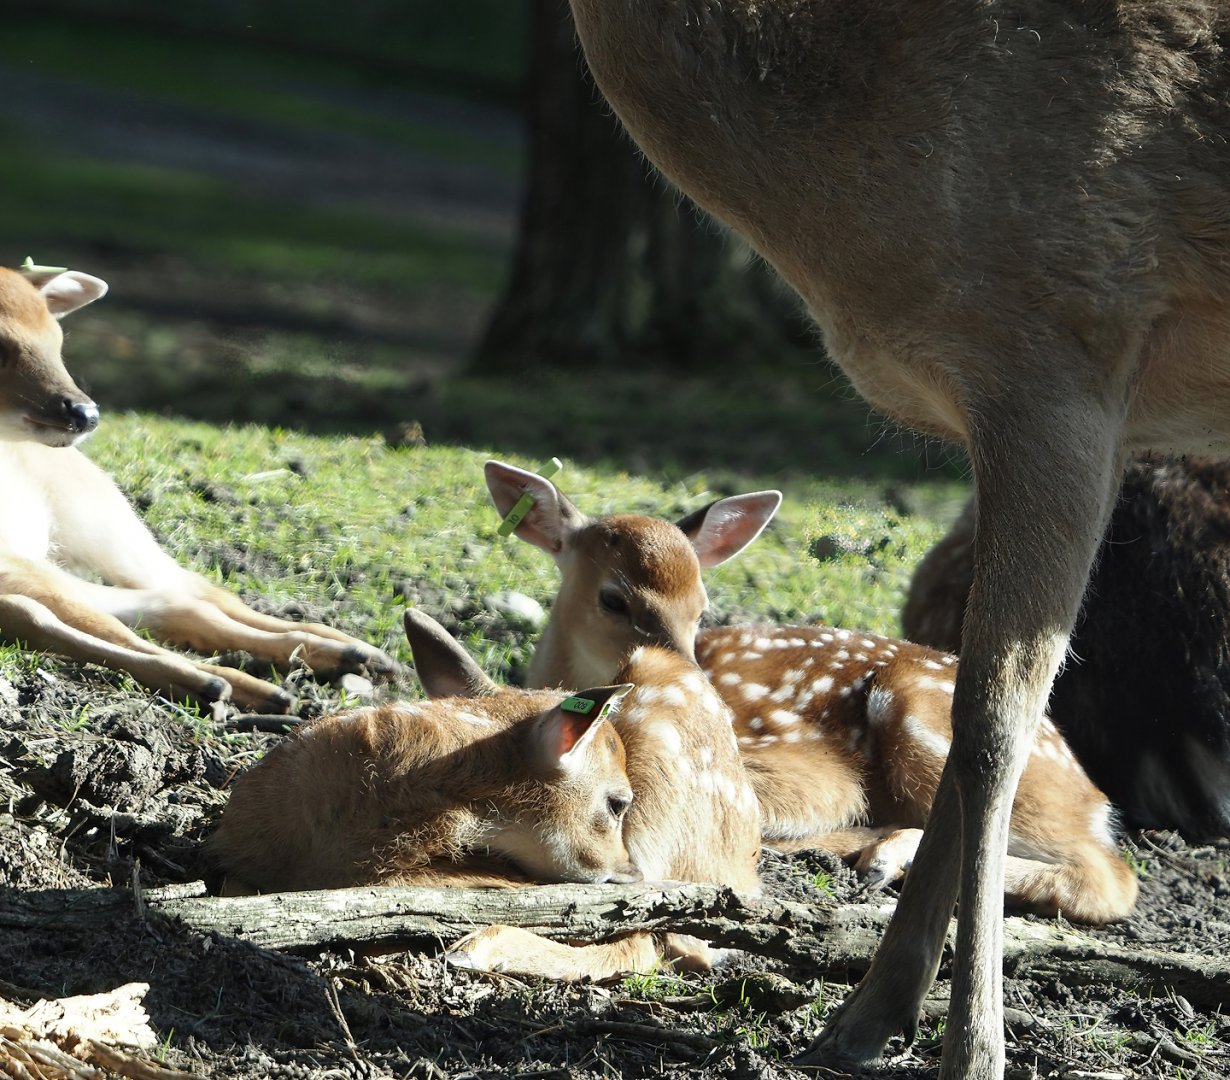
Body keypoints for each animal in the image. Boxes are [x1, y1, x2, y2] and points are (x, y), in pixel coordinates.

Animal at [0, 264, 393, 713]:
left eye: (58, 340)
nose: (84, 412)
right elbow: (43, 619)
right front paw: (222, 687)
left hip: (105, 523)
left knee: (194, 592)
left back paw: (359, 655)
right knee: (171, 603)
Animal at [486, 459, 1139, 925]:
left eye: (701, 607)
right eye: (613, 599)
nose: (695, 676)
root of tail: (1094, 798)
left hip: (923, 719)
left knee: (1108, 874)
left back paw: (884, 859)